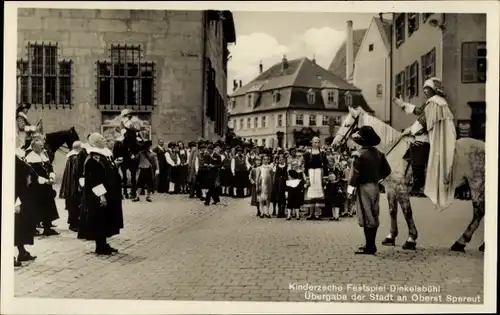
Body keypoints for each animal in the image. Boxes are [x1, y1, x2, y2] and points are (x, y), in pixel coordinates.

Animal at [332, 107, 484, 253]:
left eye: (346, 125)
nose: (334, 145)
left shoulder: (401, 188)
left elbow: (407, 212)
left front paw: (411, 239)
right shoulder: (391, 188)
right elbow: (393, 211)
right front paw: (391, 237)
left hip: (477, 185)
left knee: (479, 212)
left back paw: (461, 242)